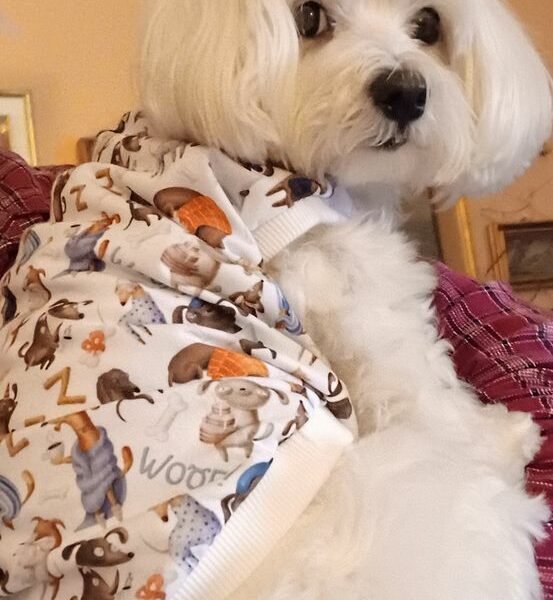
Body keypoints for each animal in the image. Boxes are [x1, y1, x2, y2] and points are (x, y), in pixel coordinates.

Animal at [139, 2, 553, 599]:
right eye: (309, 16)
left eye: (430, 25)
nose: (405, 92)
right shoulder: (361, 297)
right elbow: (430, 390)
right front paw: (506, 435)